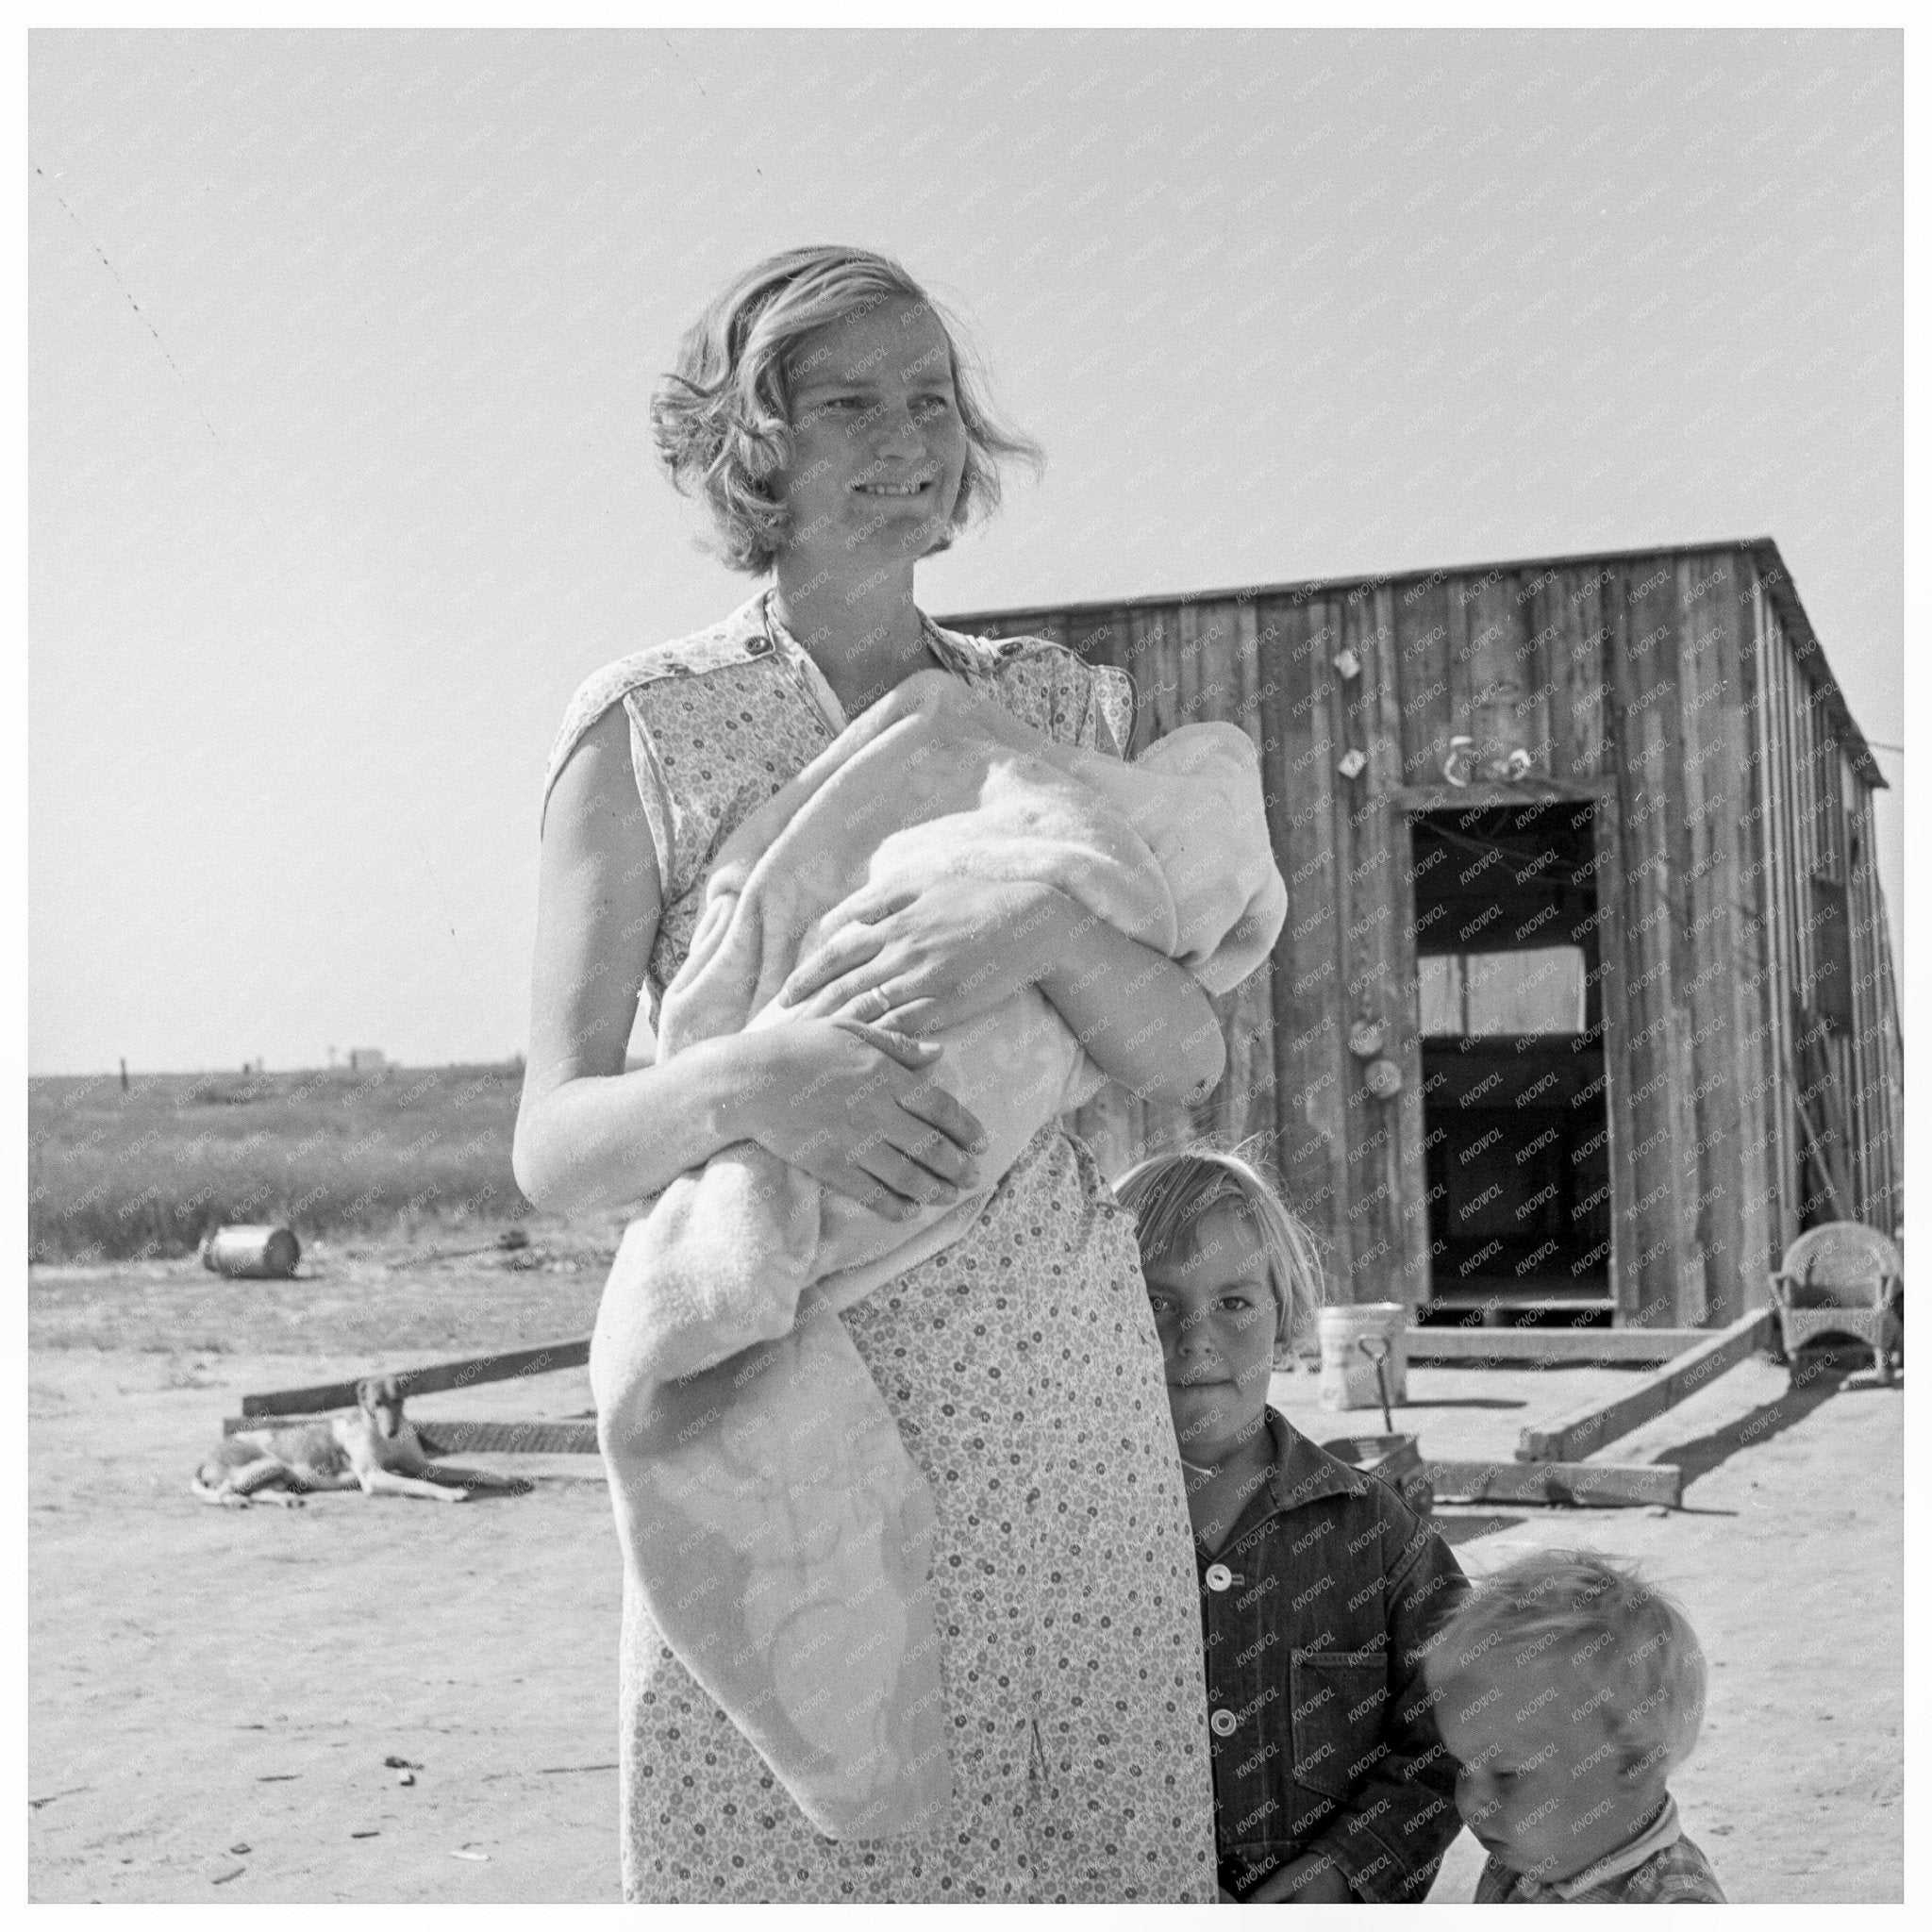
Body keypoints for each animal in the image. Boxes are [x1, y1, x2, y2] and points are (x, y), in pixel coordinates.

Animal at [192, 1375, 533, 1507]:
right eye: (376, 1403)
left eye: (398, 1400)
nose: (392, 1432)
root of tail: (205, 1456)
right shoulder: (374, 1476)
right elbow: (419, 1484)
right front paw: (450, 1494)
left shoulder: (420, 1465)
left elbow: (473, 1469)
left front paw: (507, 1477)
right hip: (263, 1464)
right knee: (221, 1493)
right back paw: (234, 1501)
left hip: (276, 1474)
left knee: (259, 1492)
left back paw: (286, 1500)